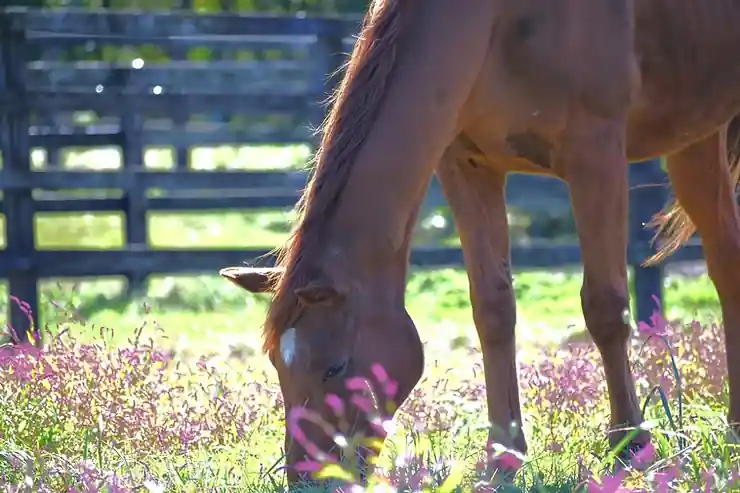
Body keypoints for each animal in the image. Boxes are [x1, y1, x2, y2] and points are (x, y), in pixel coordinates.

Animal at [220, 0, 740, 485]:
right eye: (278, 364)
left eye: (335, 367)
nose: (308, 478)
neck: (497, 20)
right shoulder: (466, 164)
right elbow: (492, 309)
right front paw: (502, 458)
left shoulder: (596, 153)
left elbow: (605, 307)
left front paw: (629, 445)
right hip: (695, 140)